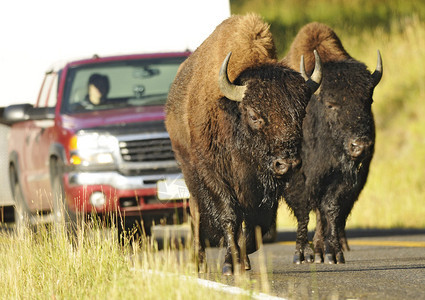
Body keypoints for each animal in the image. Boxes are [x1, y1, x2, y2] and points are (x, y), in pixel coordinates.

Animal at [166, 15, 322, 276]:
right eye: (254, 115)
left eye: (301, 113)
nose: (287, 163)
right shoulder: (214, 175)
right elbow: (229, 215)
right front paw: (231, 264)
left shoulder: (265, 189)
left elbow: (256, 224)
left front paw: (242, 257)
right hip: (189, 171)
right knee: (196, 212)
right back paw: (199, 262)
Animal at [280, 22, 382, 264]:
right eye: (330, 104)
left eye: (369, 100)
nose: (360, 146)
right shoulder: (296, 176)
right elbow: (303, 210)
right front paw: (301, 254)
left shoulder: (343, 178)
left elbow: (331, 209)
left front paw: (332, 253)